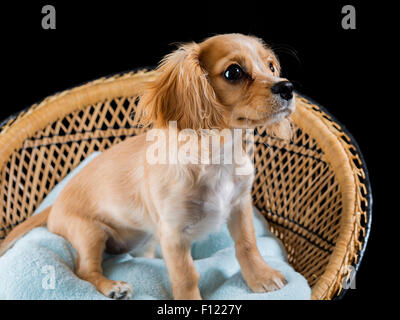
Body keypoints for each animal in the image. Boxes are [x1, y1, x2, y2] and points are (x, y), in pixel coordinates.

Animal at [0, 33, 294, 298]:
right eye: (234, 72)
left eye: (270, 66)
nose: (287, 87)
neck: (219, 156)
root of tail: (54, 206)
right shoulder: (174, 234)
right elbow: (186, 275)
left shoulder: (240, 205)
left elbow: (247, 244)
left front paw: (260, 277)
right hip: (88, 233)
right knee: (84, 270)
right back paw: (113, 287)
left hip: (146, 238)